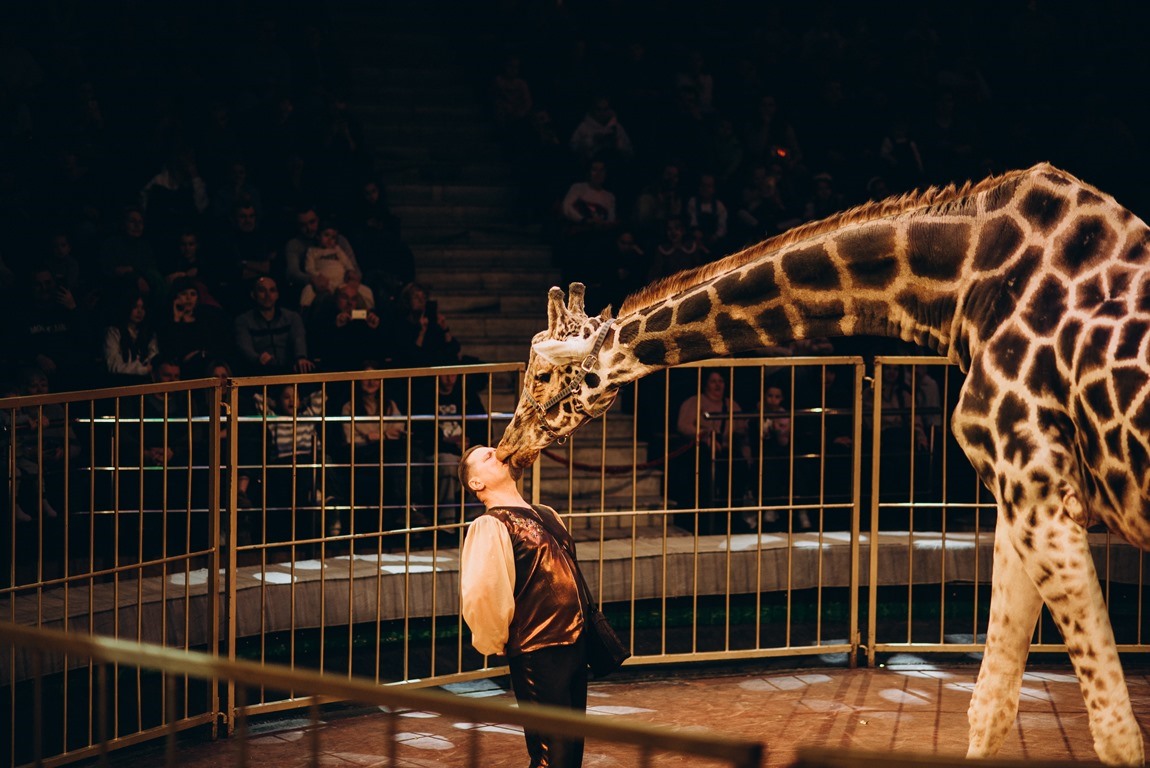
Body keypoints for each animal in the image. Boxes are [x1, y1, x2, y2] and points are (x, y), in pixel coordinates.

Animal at [496, 163, 1149, 765]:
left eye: (543, 375)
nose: (507, 449)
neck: (961, 288)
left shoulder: (1036, 485)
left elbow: (1116, 734)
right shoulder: (1026, 493)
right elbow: (991, 704)